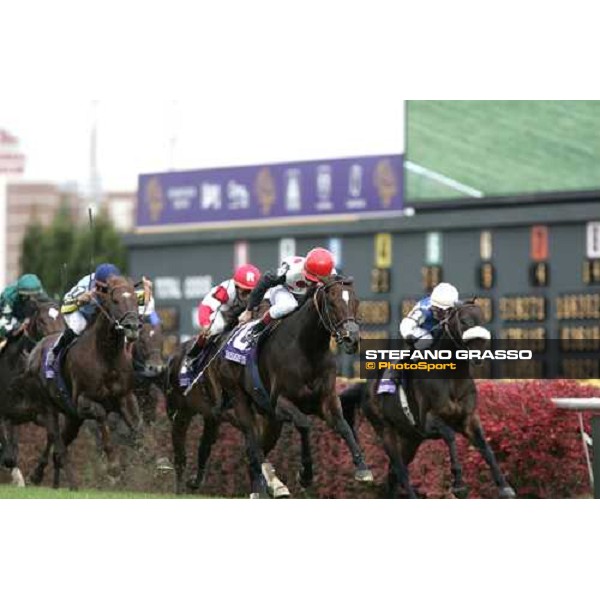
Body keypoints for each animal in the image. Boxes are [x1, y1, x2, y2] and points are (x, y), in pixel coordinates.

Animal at [22, 276, 141, 488]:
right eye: (115, 300)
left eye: (136, 299)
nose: (133, 327)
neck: (106, 355)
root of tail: (36, 349)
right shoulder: (82, 402)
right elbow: (101, 415)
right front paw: (113, 467)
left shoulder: (125, 397)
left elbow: (136, 426)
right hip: (49, 407)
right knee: (53, 436)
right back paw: (37, 475)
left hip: (72, 418)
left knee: (59, 445)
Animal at [210, 276, 370, 496]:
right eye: (332, 303)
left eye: (356, 301)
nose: (351, 339)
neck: (307, 350)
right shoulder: (281, 403)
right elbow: (304, 424)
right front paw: (305, 475)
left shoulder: (327, 399)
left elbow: (344, 426)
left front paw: (362, 468)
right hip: (240, 400)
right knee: (253, 447)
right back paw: (262, 488)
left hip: (271, 420)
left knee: (259, 449)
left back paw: (266, 487)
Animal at [360, 302, 516, 500]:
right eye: (463, 321)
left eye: (483, 319)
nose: (479, 354)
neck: (452, 378)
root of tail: (367, 385)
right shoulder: (428, 420)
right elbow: (449, 435)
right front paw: (458, 484)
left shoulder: (468, 419)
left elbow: (485, 446)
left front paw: (504, 486)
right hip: (385, 431)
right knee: (401, 471)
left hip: (410, 438)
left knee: (393, 472)